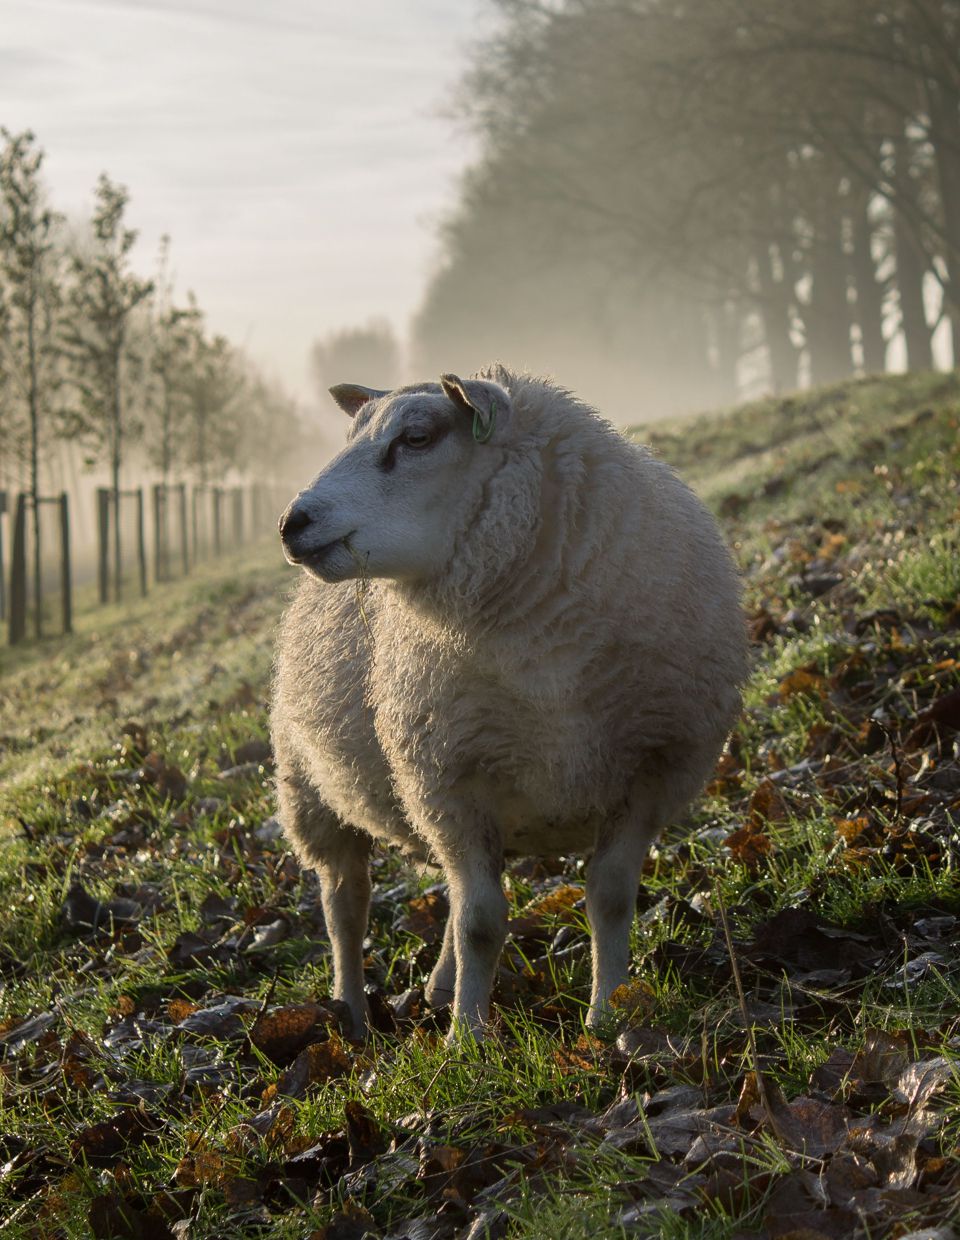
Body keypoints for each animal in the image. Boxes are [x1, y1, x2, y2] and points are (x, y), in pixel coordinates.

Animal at [271, 365, 747, 1040]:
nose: (292, 523)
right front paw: (468, 1040)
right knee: (345, 902)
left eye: (416, 438)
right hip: (311, 790)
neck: (546, 663)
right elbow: (481, 922)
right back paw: (354, 1014)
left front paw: (609, 1015)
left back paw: (438, 989)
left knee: (441, 893)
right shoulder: (448, 781)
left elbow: (608, 897)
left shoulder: (651, 772)